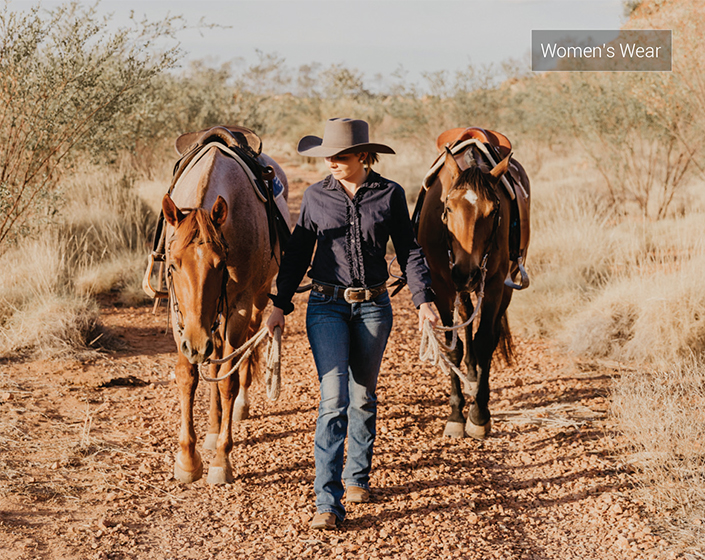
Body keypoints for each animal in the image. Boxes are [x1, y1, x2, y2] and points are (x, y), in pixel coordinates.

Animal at [162, 141, 288, 486]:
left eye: (220, 265)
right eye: (173, 265)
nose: (196, 343)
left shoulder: (239, 308)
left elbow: (227, 380)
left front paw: (221, 459)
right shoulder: (182, 319)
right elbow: (188, 376)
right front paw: (187, 459)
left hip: (256, 301)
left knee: (242, 355)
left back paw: (239, 407)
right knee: (214, 360)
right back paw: (213, 426)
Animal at [418, 138, 528, 440]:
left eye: (493, 211)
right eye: (448, 207)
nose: (465, 272)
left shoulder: (493, 285)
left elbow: (485, 341)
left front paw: (478, 416)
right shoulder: (443, 285)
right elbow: (453, 347)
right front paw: (456, 415)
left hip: (502, 286)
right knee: (466, 321)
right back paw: (469, 373)